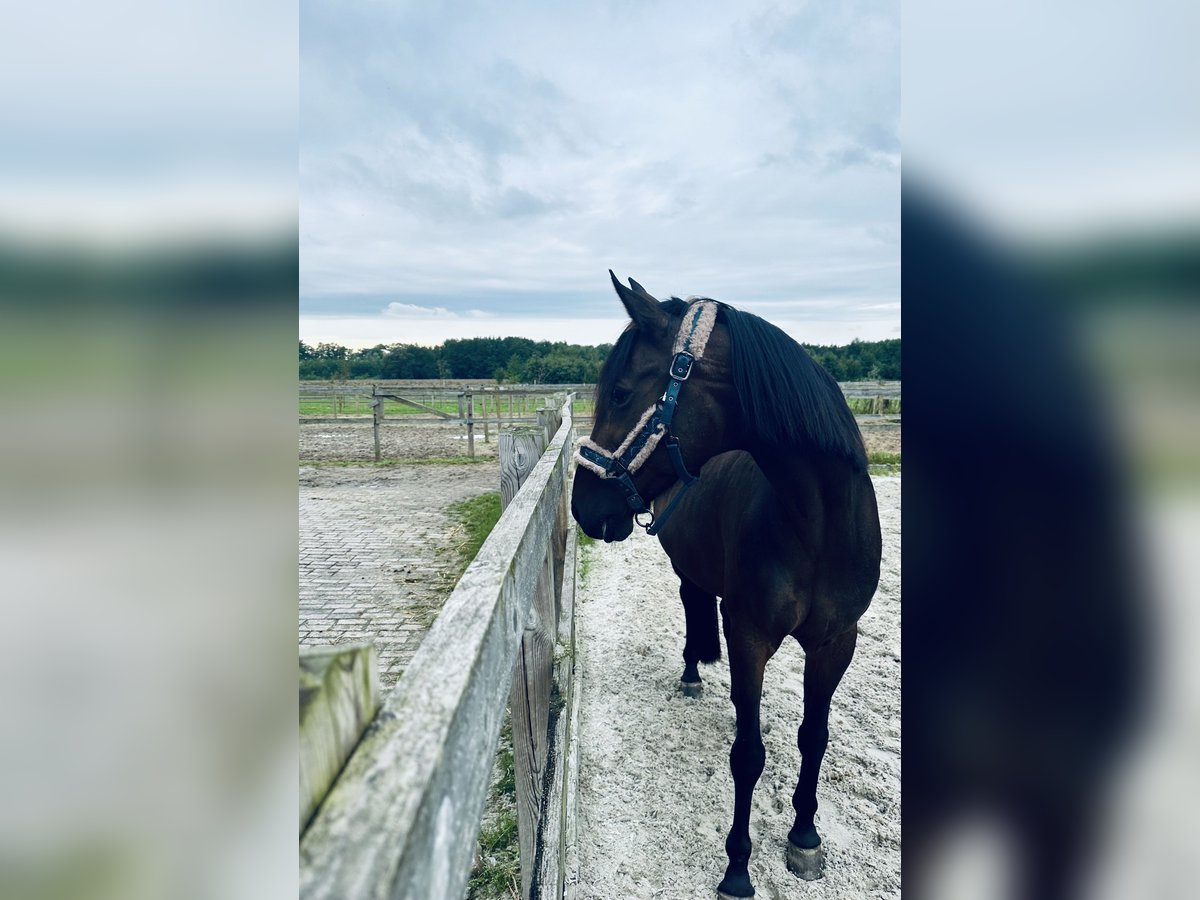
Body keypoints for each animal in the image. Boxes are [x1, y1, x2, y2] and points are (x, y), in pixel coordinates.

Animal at [571, 273, 883, 897]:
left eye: (619, 393)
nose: (581, 505)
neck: (818, 524)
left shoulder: (837, 641)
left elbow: (814, 736)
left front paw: (805, 836)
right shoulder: (751, 638)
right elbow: (748, 755)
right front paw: (737, 867)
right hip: (690, 572)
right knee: (694, 606)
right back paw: (692, 674)